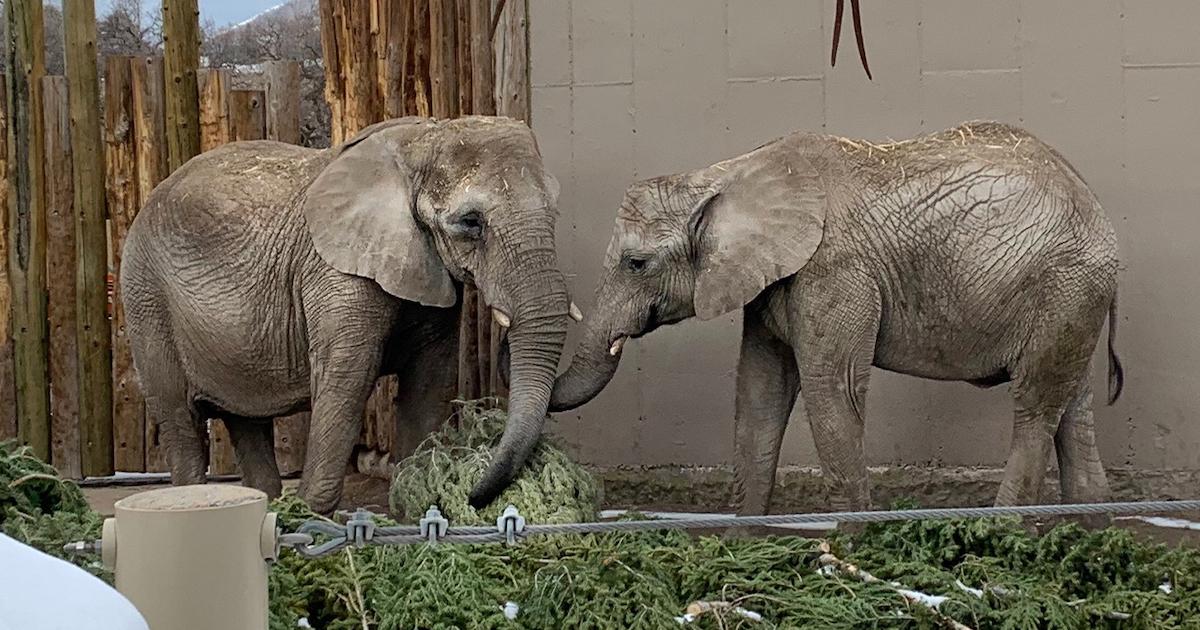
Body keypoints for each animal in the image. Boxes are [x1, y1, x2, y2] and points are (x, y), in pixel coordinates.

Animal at [124, 115, 573, 513]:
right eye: (470, 222)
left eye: (555, 212)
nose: (474, 496)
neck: (423, 139)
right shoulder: (334, 271)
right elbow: (348, 375)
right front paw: (312, 513)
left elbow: (430, 379)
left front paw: (412, 506)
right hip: (146, 298)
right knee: (179, 419)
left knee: (246, 419)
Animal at [549, 119, 1118, 516]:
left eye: (635, 263)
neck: (725, 174)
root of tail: (1099, 210)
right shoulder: (770, 281)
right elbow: (760, 395)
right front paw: (740, 549)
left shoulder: (834, 272)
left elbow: (832, 392)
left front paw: (853, 554)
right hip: (1073, 298)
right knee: (1074, 409)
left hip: (1064, 284)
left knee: (1035, 408)